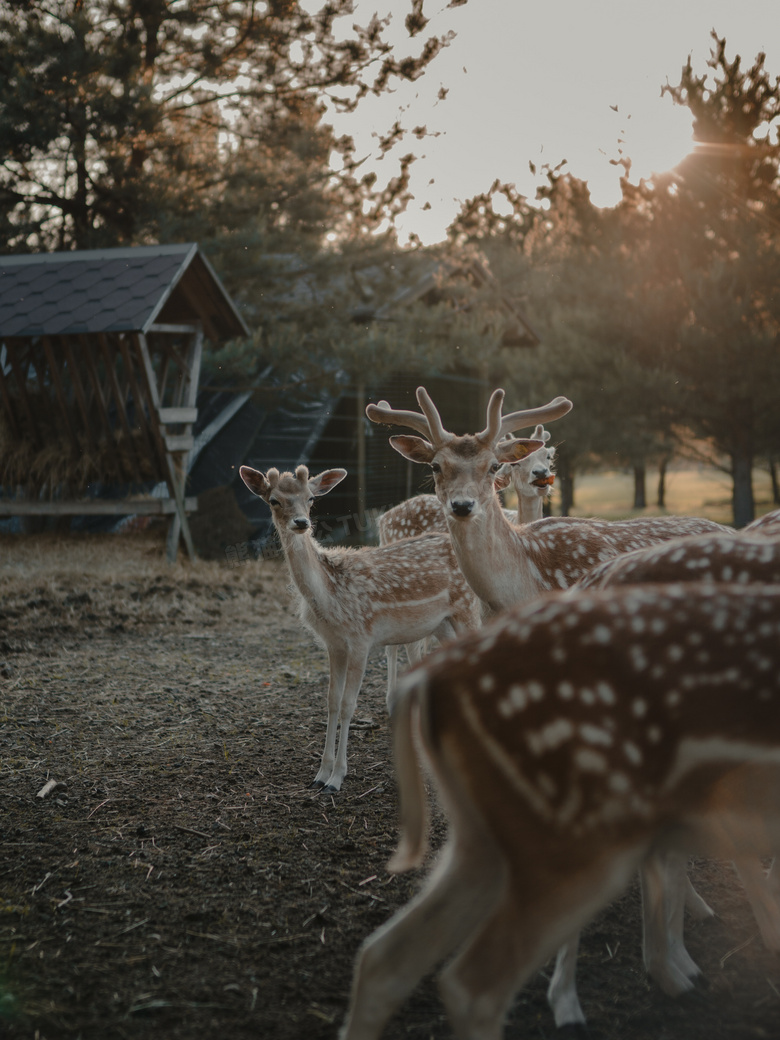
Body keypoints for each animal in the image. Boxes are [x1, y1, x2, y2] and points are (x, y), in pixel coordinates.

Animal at [238, 463, 482, 786]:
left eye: (310, 498)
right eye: (274, 500)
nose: (301, 522)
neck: (329, 596)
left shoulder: (360, 638)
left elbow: (347, 705)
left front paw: (337, 778)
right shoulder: (334, 644)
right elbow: (331, 701)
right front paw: (320, 773)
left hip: (468, 607)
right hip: (443, 624)